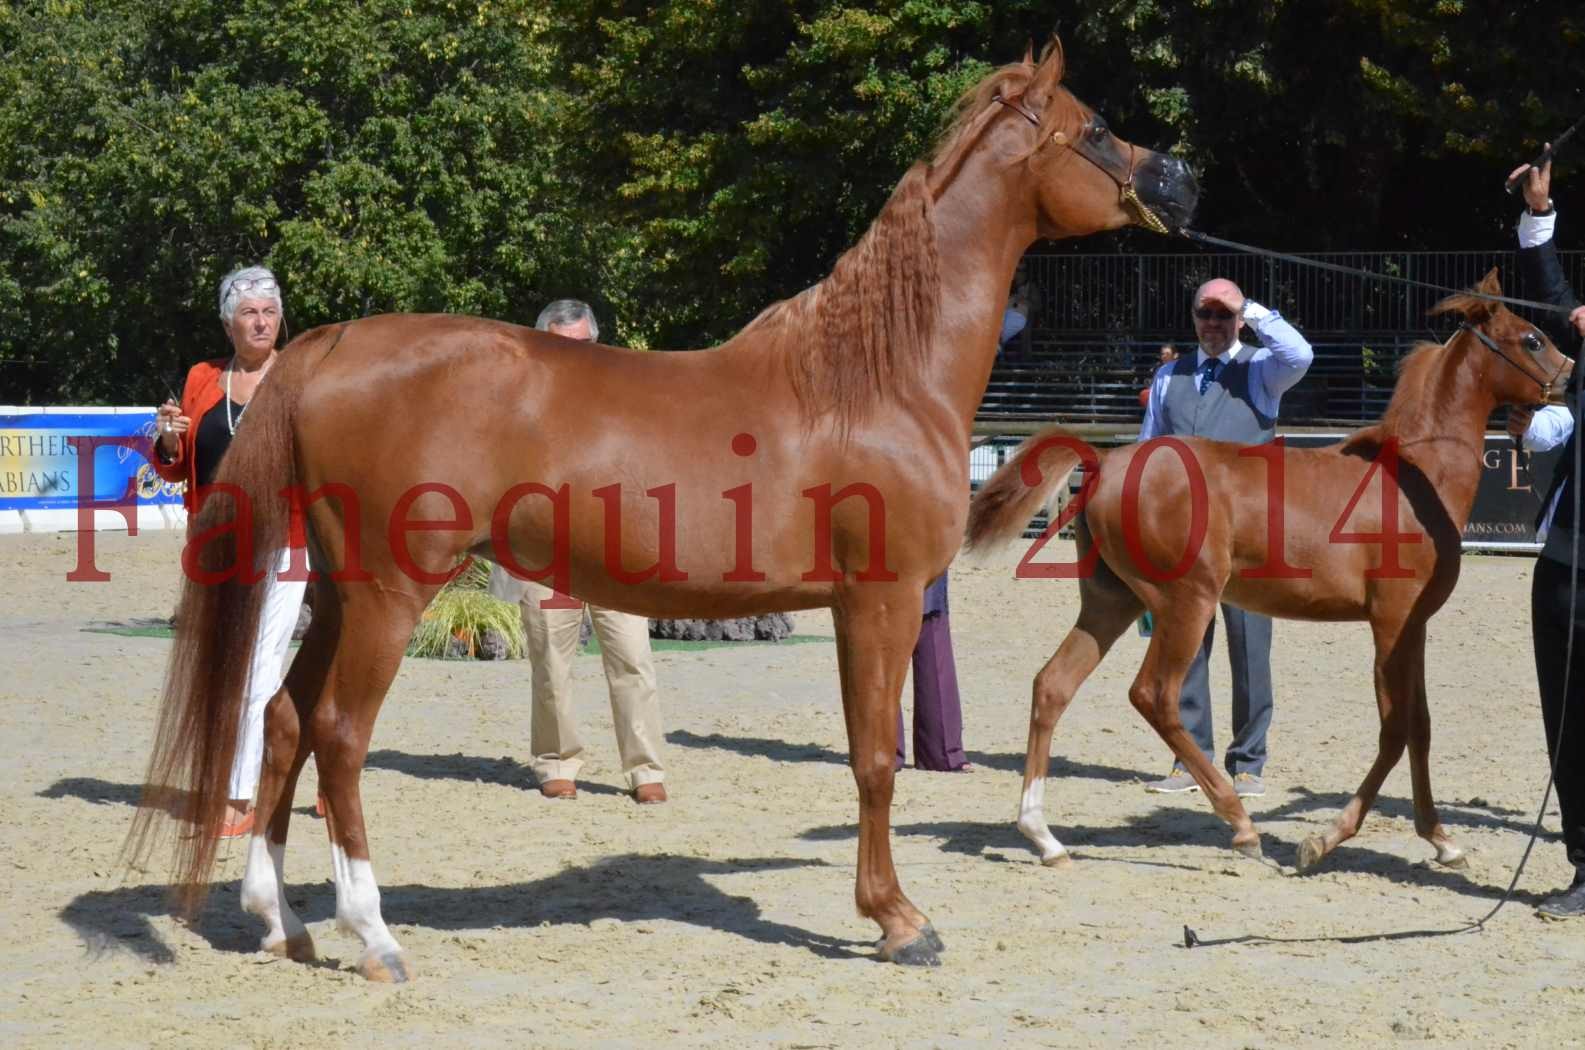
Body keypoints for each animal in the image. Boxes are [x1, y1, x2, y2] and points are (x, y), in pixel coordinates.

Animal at [126, 41, 1198, 977]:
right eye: (1095, 129)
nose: (1183, 181)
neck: (874, 377)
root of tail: (324, 347)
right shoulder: (880, 601)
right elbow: (873, 760)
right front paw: (897, 921)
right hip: (390, 594)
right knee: (340, 735)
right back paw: (374, 936)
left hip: (338, 593)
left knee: (282, 719)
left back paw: (282, 925)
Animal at [963, 269, 1572, 869]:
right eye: (1532, 339)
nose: (1569, 377)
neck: (1414, 476)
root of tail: (1104, 462)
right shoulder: (1391, 621)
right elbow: (1395, 729)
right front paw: (1325, 839)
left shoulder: (1413, 626)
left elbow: (1418, 726)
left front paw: (1442, 839)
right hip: (1186, 602)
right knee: (1154, 695)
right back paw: (1240, 824)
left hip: (1113, 601)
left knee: (1053, 685)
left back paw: (1043, 837)